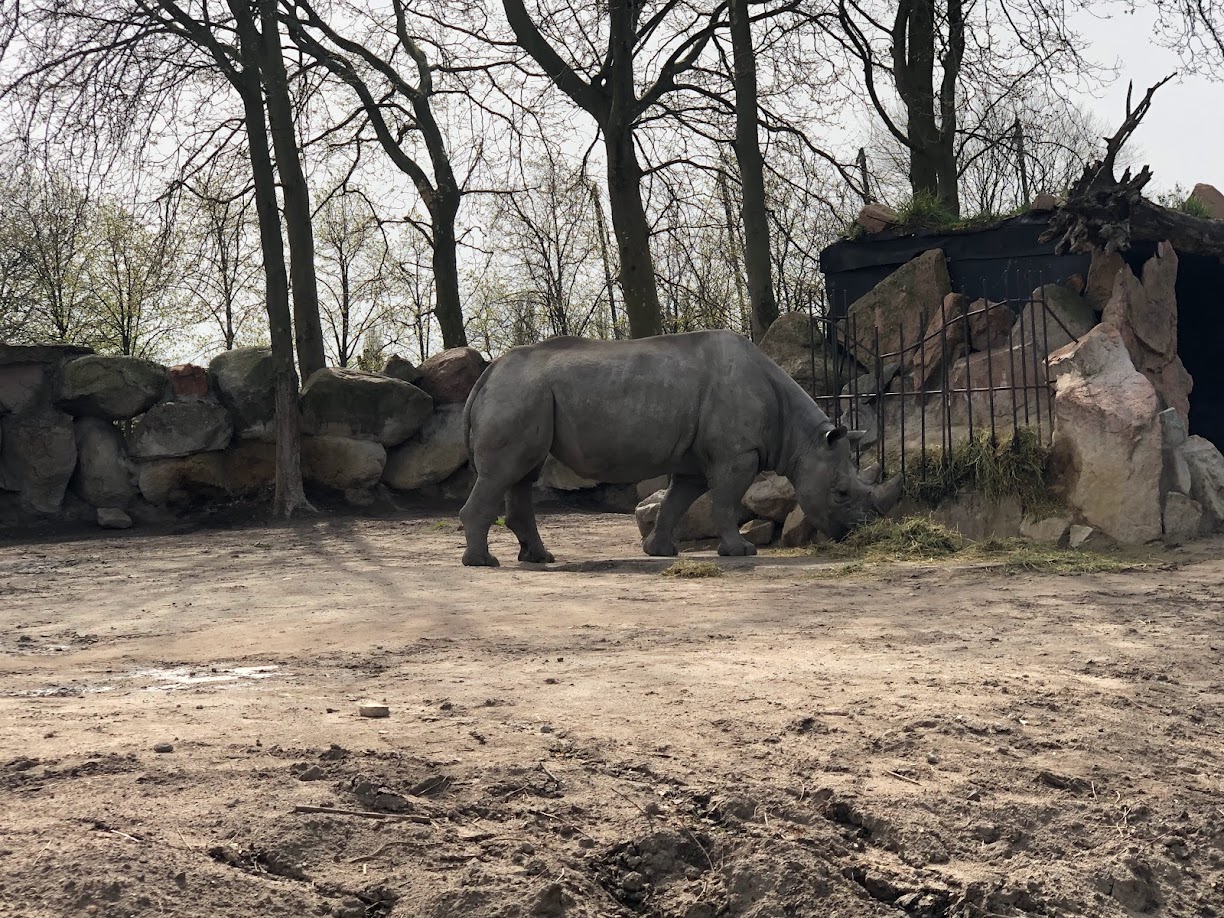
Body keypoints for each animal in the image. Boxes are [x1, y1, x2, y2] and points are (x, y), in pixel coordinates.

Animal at [460, 329, 903, 566]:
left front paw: (659, 551)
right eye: (840, 493)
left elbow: (677, 500)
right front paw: (740, 552)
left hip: (526, 395)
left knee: (521, 473)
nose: (859, 533)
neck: (802, 439)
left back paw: (539, 559)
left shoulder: (697, 460)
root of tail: (487, 374)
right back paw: (484, 562)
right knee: (502, 473)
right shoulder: (736, 454)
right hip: (519, 393)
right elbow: (725, 502)